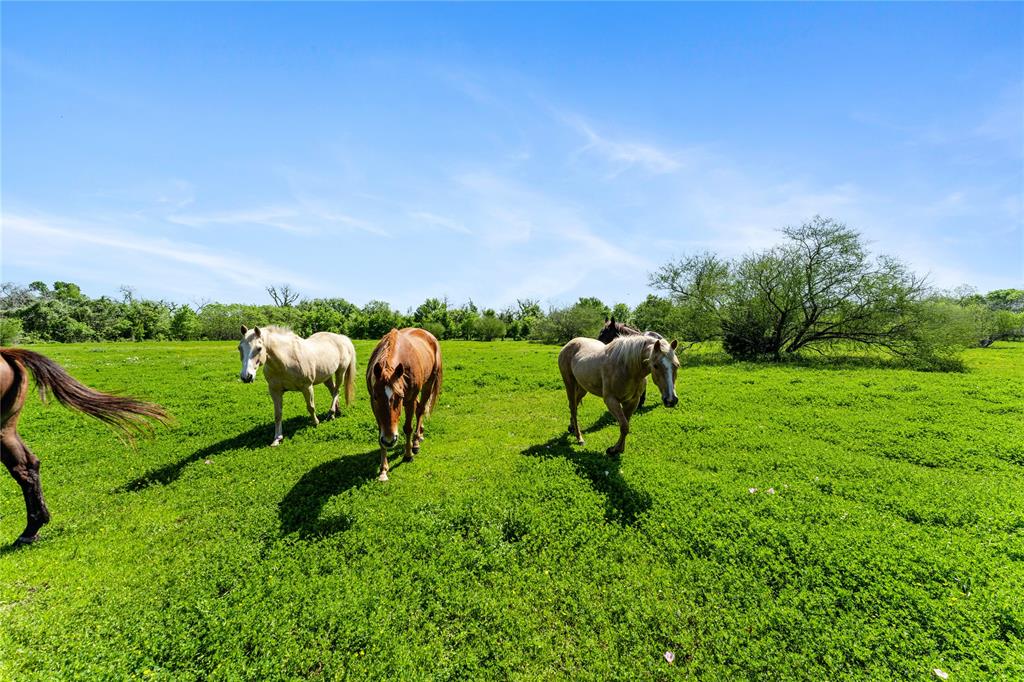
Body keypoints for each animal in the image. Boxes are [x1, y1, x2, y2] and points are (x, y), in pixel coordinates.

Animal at [366, 327, 442, 481]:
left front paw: (408, 455)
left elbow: (408, 428)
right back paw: (421, 434)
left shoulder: (409, 400)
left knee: (420, 410)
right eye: (376, 397)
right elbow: (380, 433)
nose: (390, 440)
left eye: (399, 397)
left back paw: (416, 442)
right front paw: (383, 469)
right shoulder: (373, 405)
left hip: (428, 384)